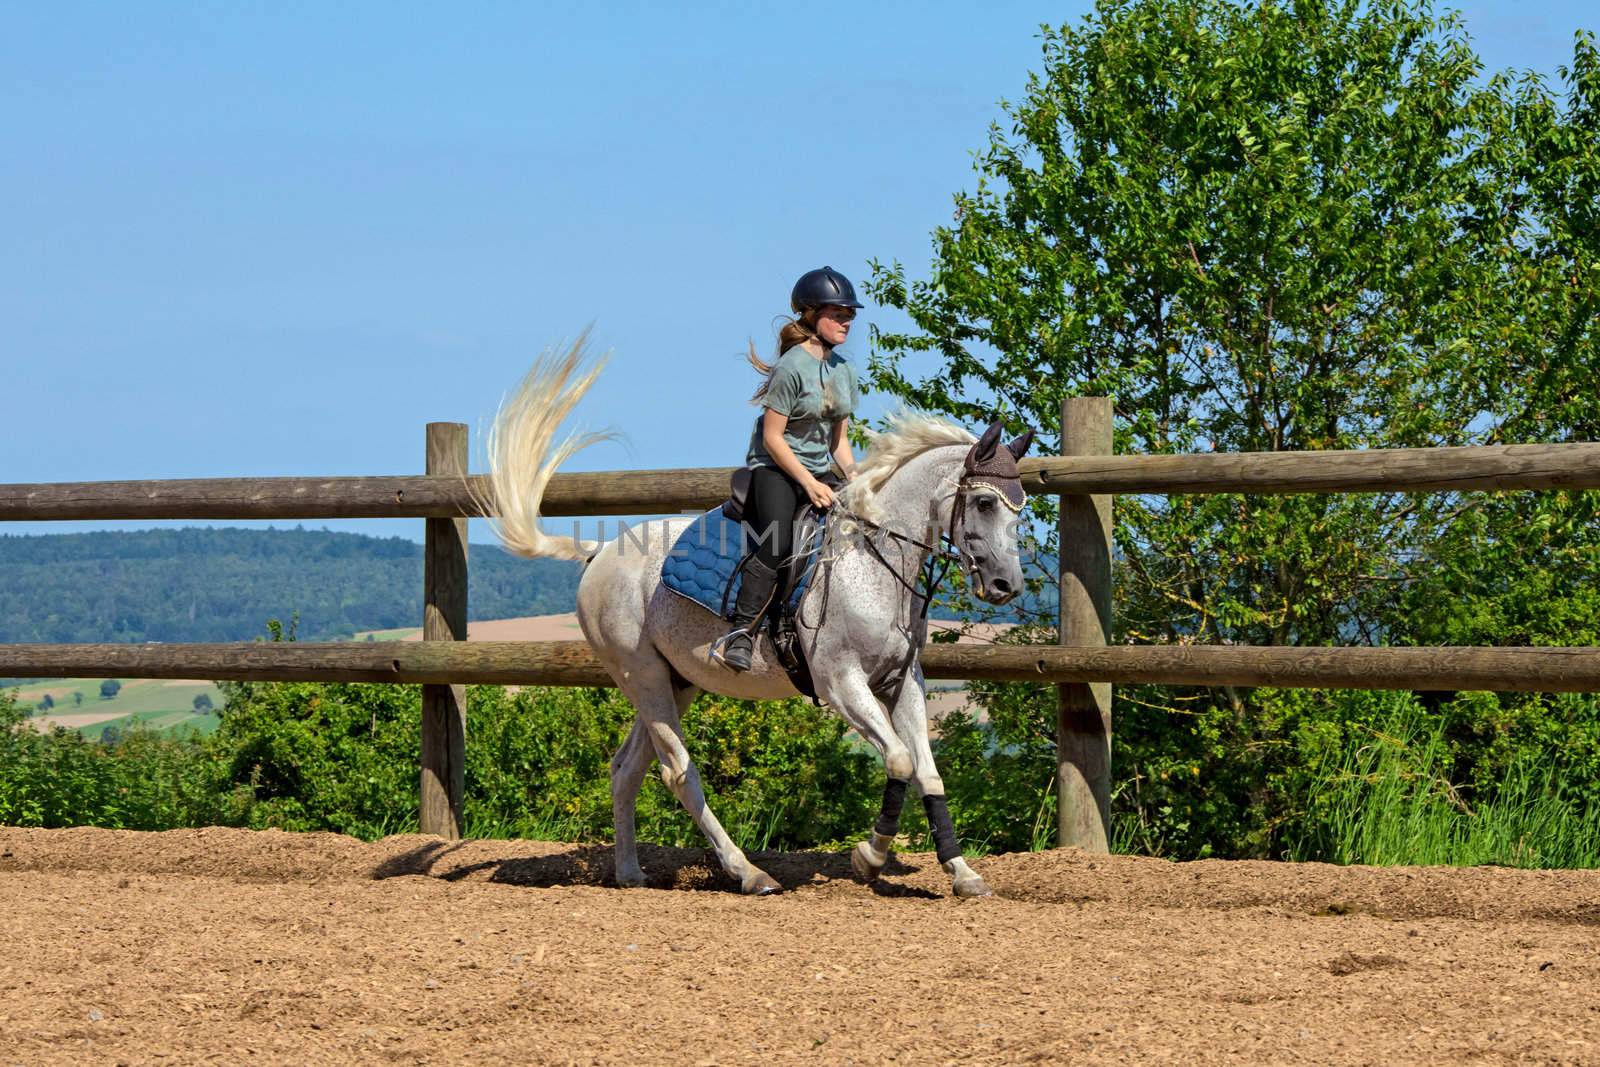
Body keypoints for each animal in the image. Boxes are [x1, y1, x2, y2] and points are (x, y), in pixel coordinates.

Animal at [480, 340, 1030, 895]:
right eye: (985, 502)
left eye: (1020, 507)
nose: (1006, 586)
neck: (874, 559)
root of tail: (599, 554)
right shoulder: (841, 683)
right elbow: (898, 758)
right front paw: (869, 857)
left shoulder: (902, 681)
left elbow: (927, 771)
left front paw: (962, 872)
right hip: (643, 675)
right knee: (678, 772)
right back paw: (749, 873)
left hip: (675, 680)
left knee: (626, 768)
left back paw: (631, 873)